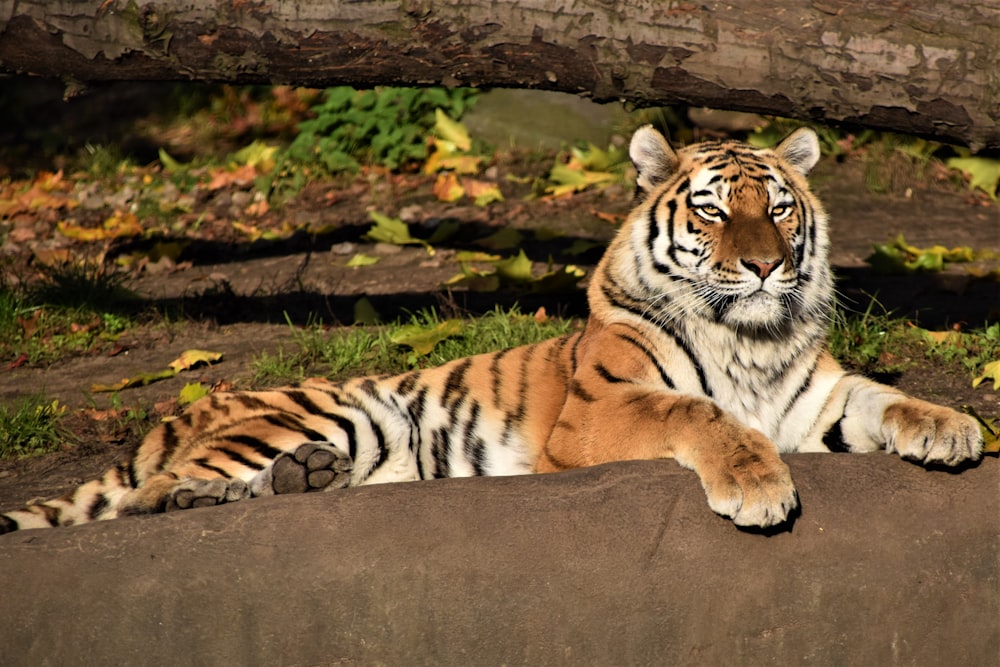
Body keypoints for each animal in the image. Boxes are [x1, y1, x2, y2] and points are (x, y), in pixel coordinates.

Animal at [0, 124, 984, 532]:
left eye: (778, 208)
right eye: (712, 212)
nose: (766, 266)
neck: (751, 336)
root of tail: (171, 415)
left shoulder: (814, 398)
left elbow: (887, 396)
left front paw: (953, 428)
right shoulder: (600, 409)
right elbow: (697, 413)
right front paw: (756, 485)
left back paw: (303, 481)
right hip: (332, 409)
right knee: (145, 497)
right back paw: (215, 494)